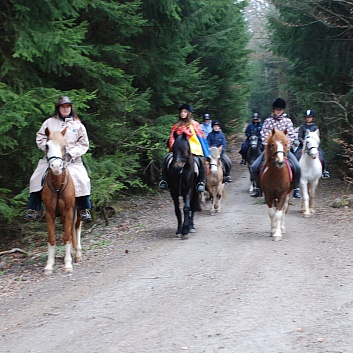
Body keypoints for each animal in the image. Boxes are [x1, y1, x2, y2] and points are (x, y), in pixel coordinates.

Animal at [41, 128, 82, 274]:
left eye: (64, 146)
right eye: (47, 146)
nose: (56, 167)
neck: (58, 185)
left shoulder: (69, 211)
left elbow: (67, 237)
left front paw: (68, 264)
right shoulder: (49, 213)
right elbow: (52, 239)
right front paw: (49, 265)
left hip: (78, 211)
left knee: (77, 227)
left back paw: (78, 254)